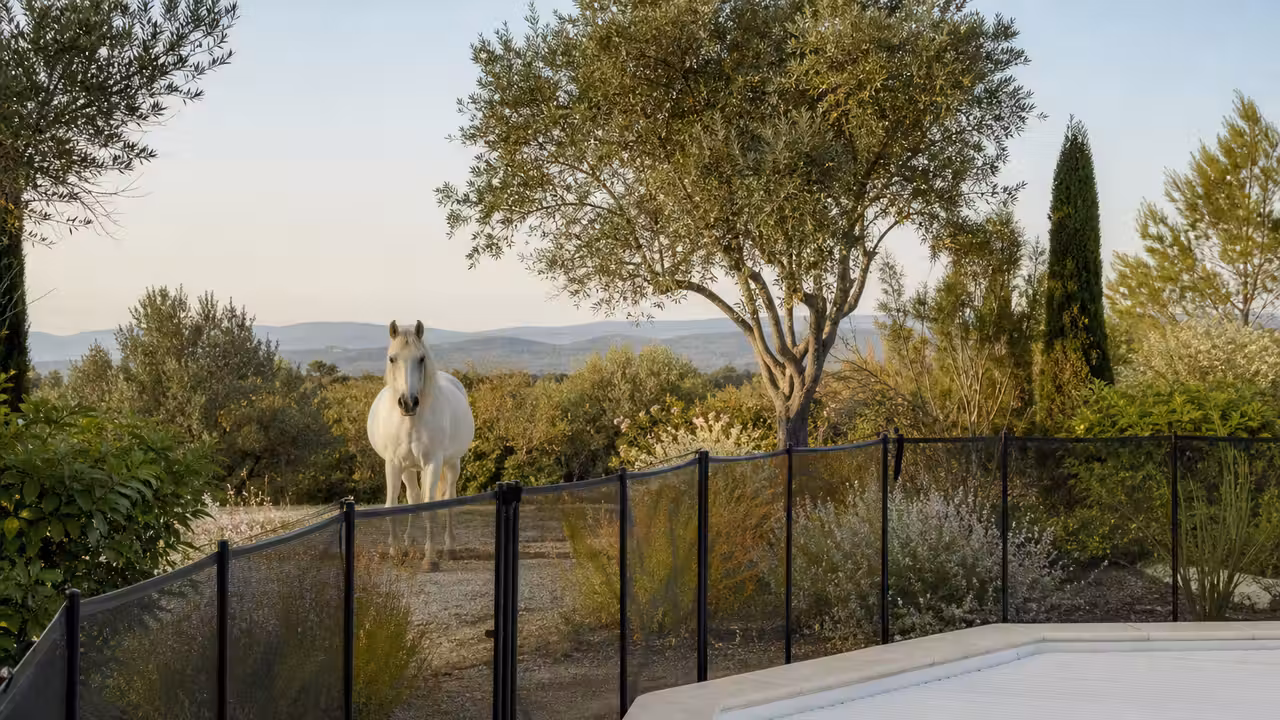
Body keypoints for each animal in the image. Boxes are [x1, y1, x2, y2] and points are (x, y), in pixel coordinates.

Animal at [366, 319, 476, 568]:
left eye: (421, 358)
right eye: (392, 358)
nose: (408, 403)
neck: (410, 421)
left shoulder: (433, 463)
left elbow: (431, 508)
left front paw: (430, 558)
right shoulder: (393, 463)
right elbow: (393, 506)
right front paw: (396, 551)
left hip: (452, 464)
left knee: (448, 499)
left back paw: (449, 548)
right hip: (408, 468)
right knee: (414, 497)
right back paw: (408, 543)